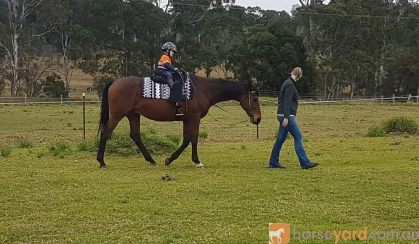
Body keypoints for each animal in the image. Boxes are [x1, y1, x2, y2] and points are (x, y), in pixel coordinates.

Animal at [99, 74, 262, 168]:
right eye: (254, 99)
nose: (258, 118)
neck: (203, 89)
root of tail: (114, 82)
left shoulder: (187, 119)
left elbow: (186, 139)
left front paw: (170, 159)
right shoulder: (195, 118)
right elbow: (193, 138)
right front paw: (196, 161)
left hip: (133, 115)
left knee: (136, 136)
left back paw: (151, 160)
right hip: (117, 115)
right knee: (106, 132)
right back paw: (101, 162)